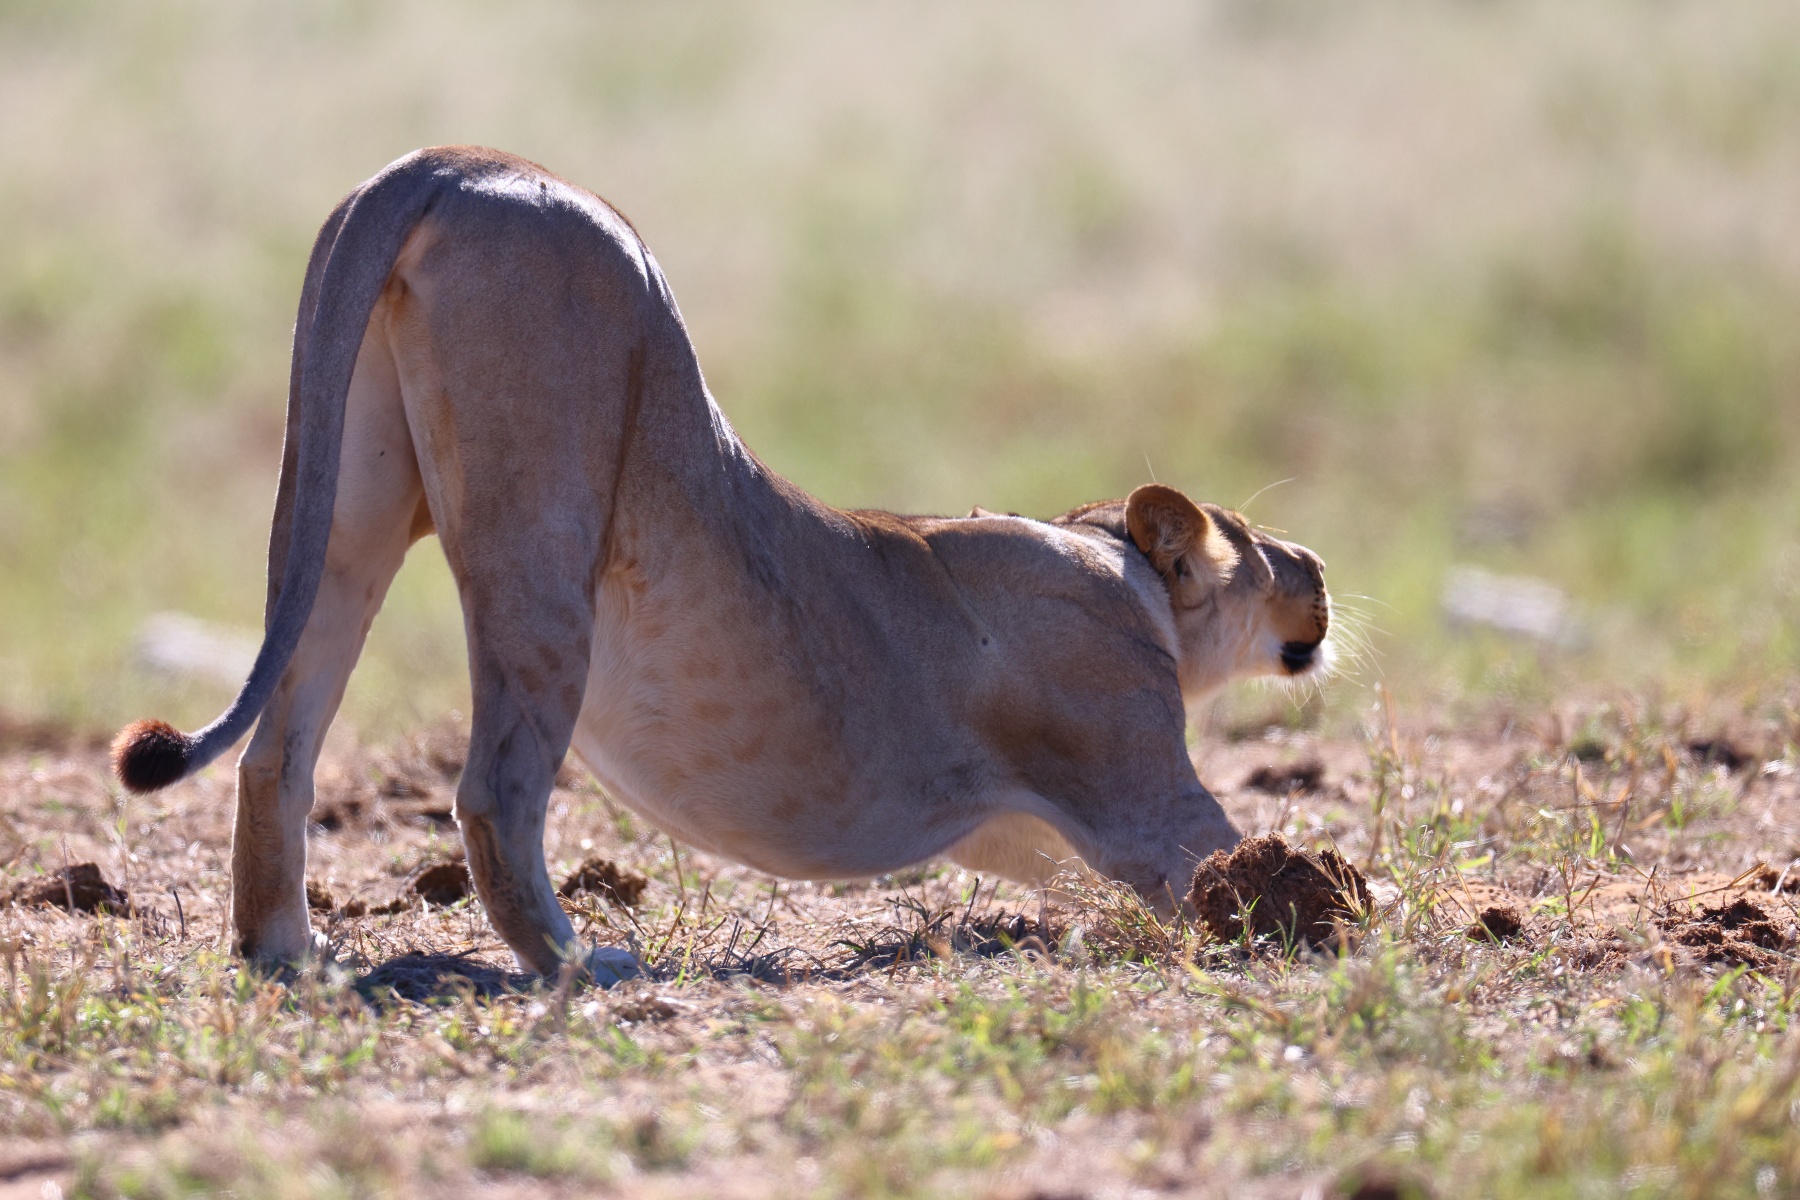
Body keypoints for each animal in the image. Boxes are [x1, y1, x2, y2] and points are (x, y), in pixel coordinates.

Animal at [111, 147, 1333, 982]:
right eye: (1255, 543)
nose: (1317, 562)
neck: (1107, 552)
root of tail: (461, 162)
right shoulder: (1142, 791)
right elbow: (1243, 869)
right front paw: (1336, 915)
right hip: (545, 516)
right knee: (495, 788)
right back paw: (579, 962)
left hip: (344, 500)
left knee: (278, 749)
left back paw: (286, 954)